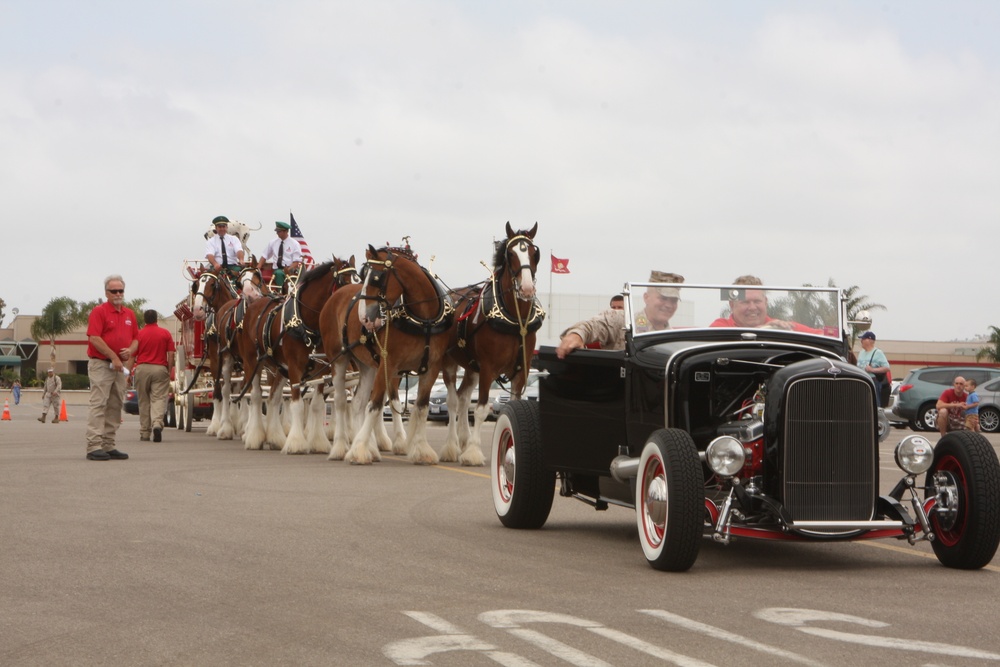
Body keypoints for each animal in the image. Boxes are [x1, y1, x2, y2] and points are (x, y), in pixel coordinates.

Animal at [318, 241, 456, 464]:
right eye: (363, 275)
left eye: (376, 277)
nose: (364, 317)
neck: (423, 320)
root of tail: (335, 297)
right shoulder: (388, 364)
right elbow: (375, 405)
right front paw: (358, 450)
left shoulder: (432, 367)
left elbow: (421, 407)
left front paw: (421, 449)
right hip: (339, 359)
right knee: (340, 402)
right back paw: (340, 447)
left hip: (367, 365)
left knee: (357, 403)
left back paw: (369, 449)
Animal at [442, 223, 544, 464]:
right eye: (511, 254)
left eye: (534, 253)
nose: (527, 288)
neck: (515, 320)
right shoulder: (488, 368)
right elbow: (481, 409)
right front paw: (473, 452)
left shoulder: (522, 371)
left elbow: (512, 405)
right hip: (449, 363)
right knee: (452, 401)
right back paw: (452, 447)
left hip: (471, 367)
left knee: (463, 397)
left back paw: (463, 440)